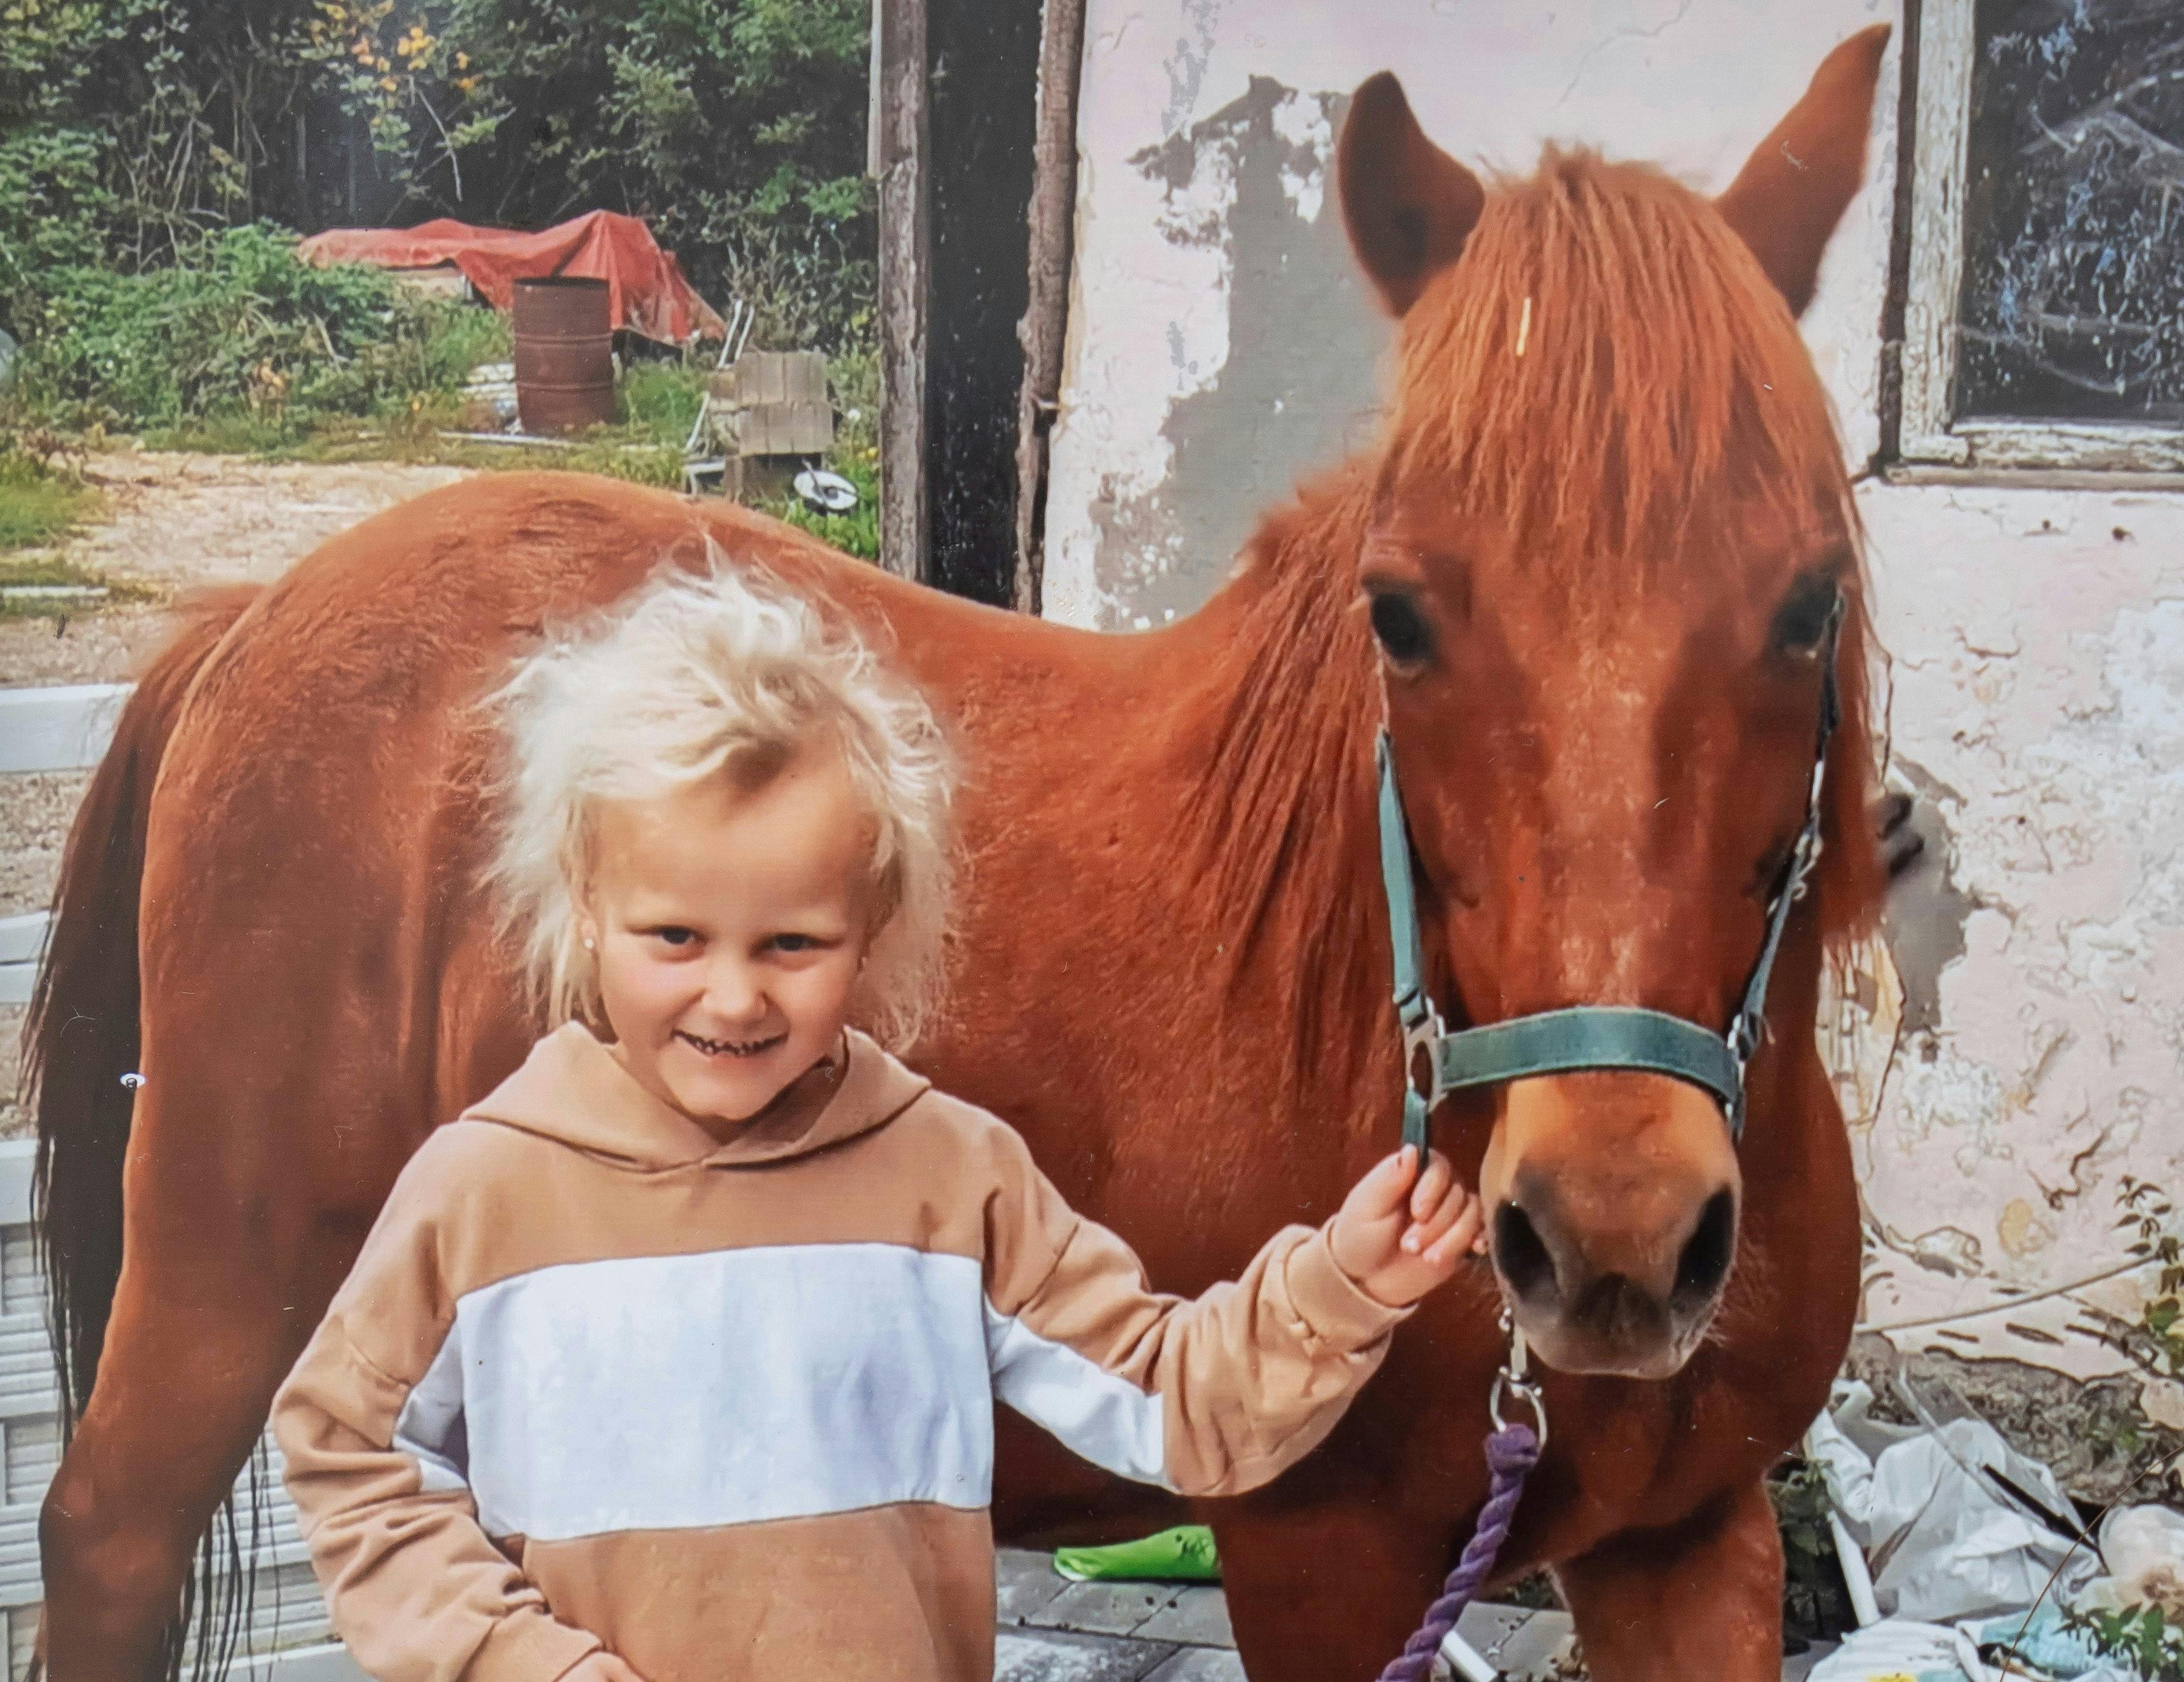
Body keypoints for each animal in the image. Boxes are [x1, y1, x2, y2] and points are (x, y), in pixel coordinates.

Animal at [17, 29, 1896, 1678]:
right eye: (1400, 615)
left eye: (1808, 602)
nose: (1609, 1236)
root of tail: (258, 614)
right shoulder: (1325, 1567)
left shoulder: (1687, 1544)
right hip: (226, 1263)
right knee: (109, 1540)